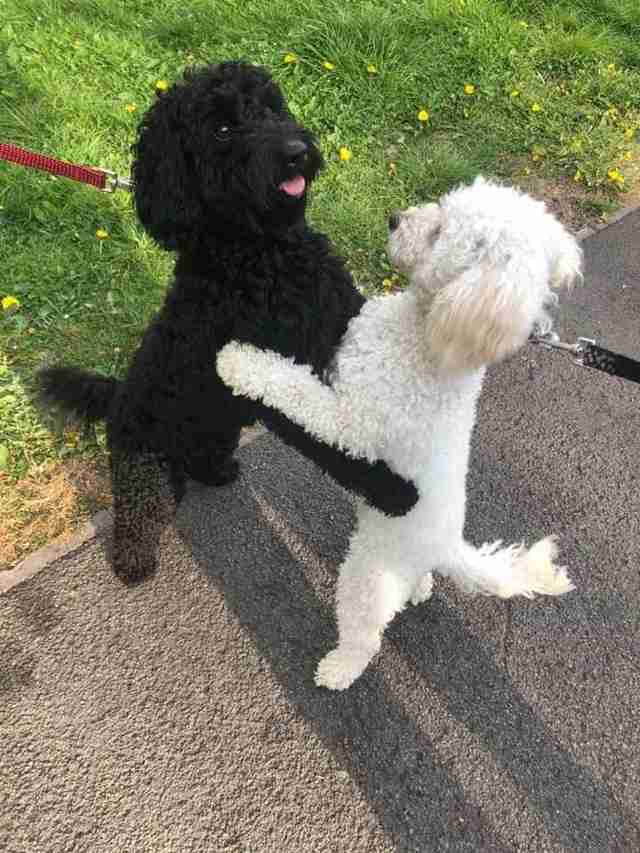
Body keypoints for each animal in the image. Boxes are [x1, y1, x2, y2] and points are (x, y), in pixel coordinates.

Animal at [37, 60, 418, 584]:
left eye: (271, 107)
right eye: (221, 129)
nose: (297, 153)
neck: (261, 254)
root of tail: (117, 394)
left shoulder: (341, 318)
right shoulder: (278, 382)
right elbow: (331, 442)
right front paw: (392, 489)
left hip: (219, 428)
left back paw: (217, 473)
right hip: (145, 466)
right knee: (140, 512)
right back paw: (134, 562)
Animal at [218, 176, 584, 688]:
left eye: (439, 233)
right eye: (443, 208)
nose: (394, 219)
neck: (425, 336)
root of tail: (448, 545)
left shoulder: (350, 423)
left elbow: (294, 387)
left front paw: (238, 362)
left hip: (368, 573)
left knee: (365, 634)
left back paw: (339, 669)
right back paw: (421, 588)